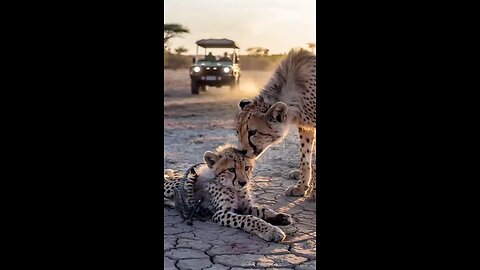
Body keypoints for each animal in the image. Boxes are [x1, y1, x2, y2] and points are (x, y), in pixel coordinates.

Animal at [235, 48, 316, 199]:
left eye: (252, 132)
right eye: (237, 132)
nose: (241, 152)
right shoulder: (305, 127)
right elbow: (305, 157)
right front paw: (301, 187)